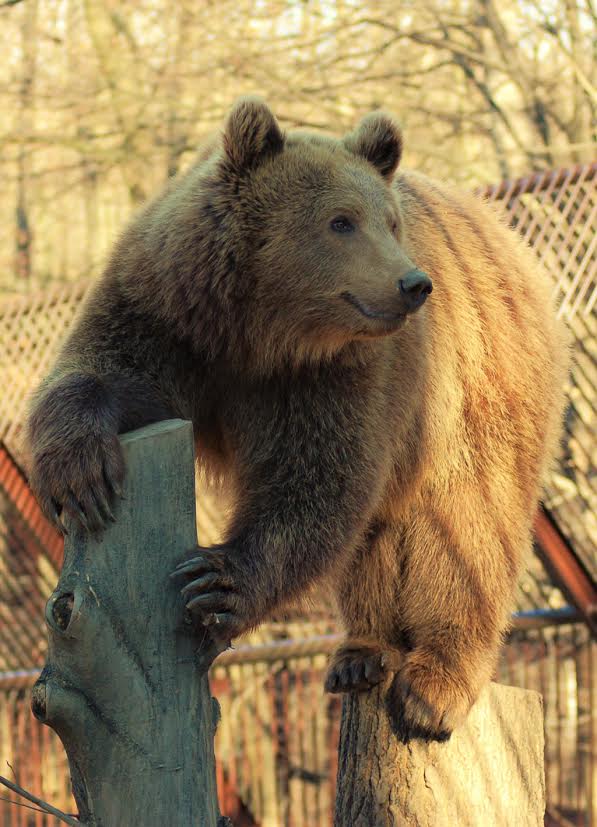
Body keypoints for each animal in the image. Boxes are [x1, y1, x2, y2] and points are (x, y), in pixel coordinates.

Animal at [26, 98, 568, 744]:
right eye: (342, 221)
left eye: (390, 222)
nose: (413, 283)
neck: (262, 333)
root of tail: (513, 244)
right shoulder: (167, 315)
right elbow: (97, 371)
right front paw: (80, 476)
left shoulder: (342, 376)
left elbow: (318, 482)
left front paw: (218, 583)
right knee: (377, 536)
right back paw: (362, 651)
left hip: (481, 389)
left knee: (469, 526)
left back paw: (432, 685)